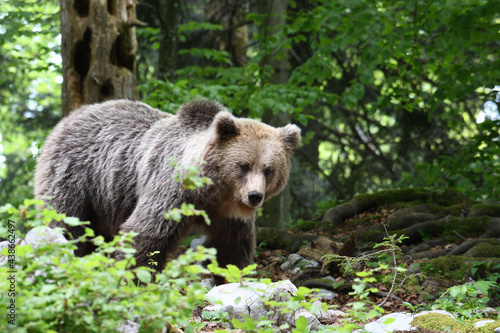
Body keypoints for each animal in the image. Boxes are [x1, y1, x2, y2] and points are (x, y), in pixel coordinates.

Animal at [36, 98, 300, 270]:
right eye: (244, 165)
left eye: (268, 169)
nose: (254, 196)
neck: (210, 193)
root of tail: (69, 117)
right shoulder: (171, 191)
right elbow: (146, 234)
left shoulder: (228, 215)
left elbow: (232, 247)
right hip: (76, 173)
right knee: (65, 218)